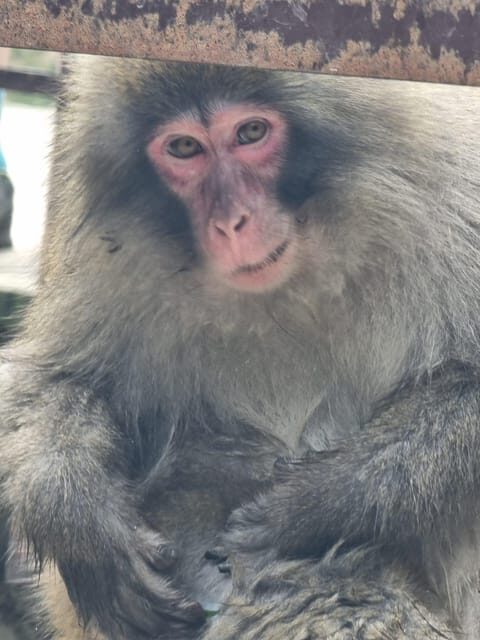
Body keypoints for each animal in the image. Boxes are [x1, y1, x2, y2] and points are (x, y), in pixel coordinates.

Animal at [0, 55, 479, 639]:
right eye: (184, 147)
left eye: (251, 133)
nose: (231, 223)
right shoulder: (102, 254)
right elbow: (57, 380)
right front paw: (80, 521)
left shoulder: (449, 198)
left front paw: (313, 506)